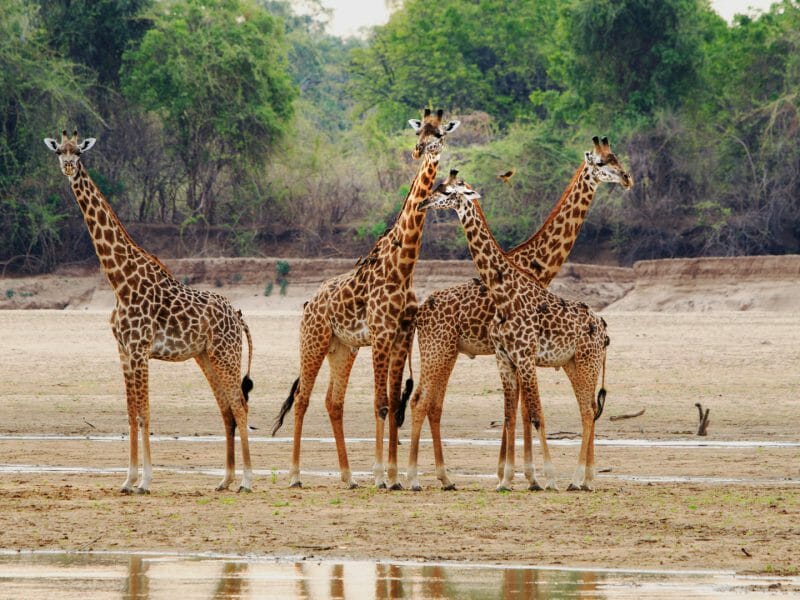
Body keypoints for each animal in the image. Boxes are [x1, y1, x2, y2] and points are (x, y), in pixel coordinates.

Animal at [44, 130, 254, 494]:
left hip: (226, 354)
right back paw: (225, 480)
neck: (119, 281)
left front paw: (145, 480)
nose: (69, 167)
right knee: (226, 408)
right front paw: (127, 480)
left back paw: (247, 481)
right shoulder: (123, 350)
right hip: (206, 357)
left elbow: (145, 414)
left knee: (239, 406)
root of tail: (238, 315)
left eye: (79, 152)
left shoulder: (141, 349)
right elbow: (131, 414)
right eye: (59, 151)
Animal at [270, 109, 460, 489]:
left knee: (333, 402)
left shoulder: (402, 336)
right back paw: (295, 475)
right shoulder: (382, 335)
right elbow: (381, 404)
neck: (403, 266)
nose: (419, 150)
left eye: (440, 135)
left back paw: (347, 476)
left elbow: (393, 401)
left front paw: (394, 476)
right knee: (302, 398)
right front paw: (380, 476)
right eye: (420, 131)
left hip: (343, 348)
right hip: (313, 340)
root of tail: (308, 303)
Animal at [404, 137, 631, 491]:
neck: (534, 266)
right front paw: (522, 475)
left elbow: (522, 413)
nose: (626, 178)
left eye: (613, 159)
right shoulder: (511, 355)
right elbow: (521, 413)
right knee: (421, 401)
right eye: (602, 162)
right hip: (439, 350)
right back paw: (412, 477)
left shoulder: (521, 356)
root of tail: (420, 311)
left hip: (449, 353)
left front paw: (522, 475)